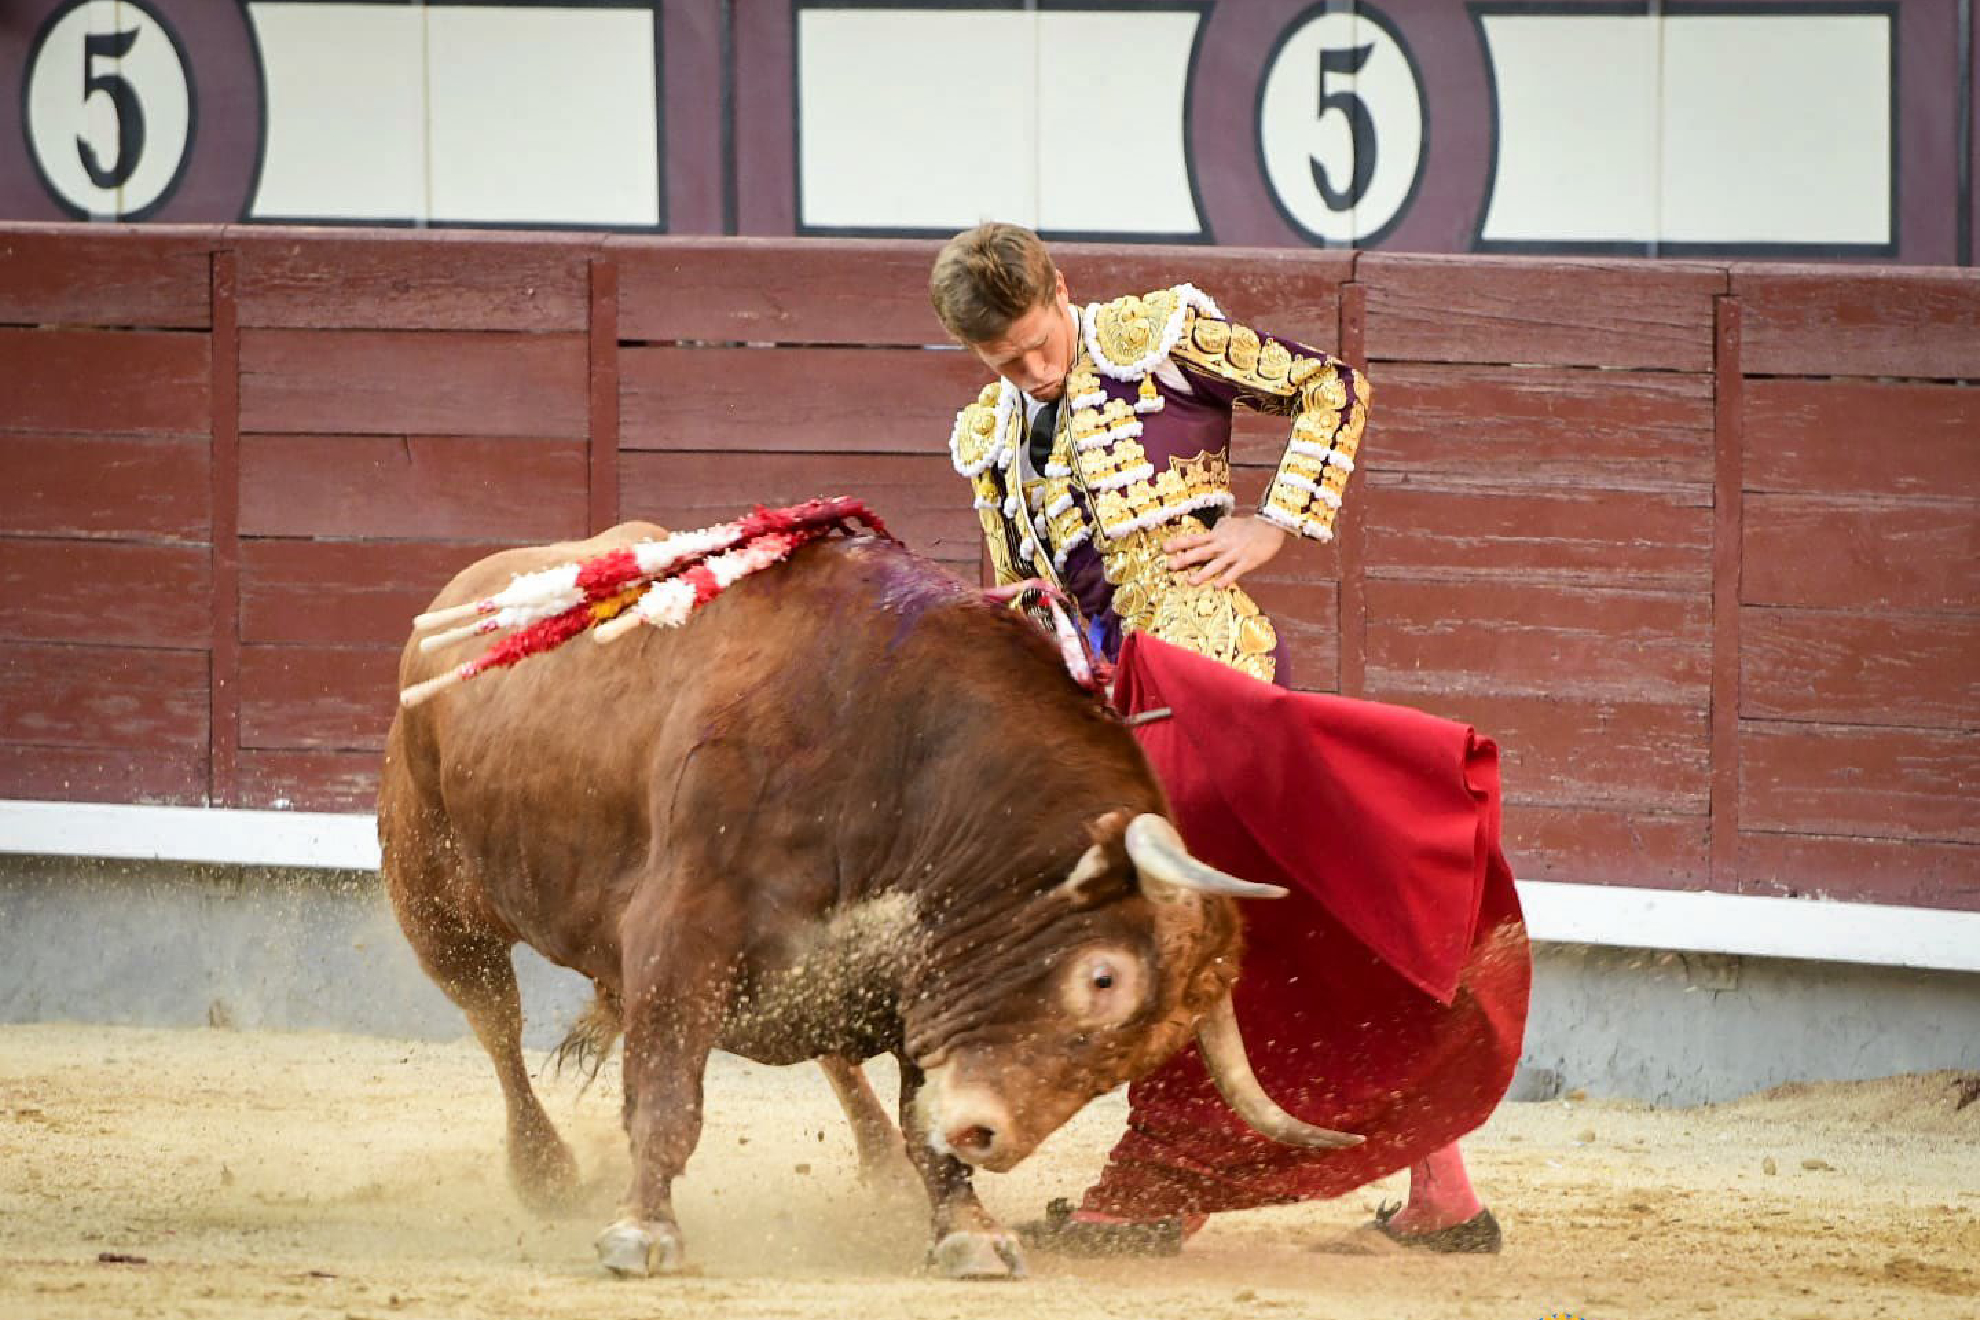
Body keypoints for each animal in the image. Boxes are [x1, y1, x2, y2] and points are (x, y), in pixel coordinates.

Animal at [378, 522, 1354, 1282]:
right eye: (1104, 978)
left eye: (1148, 1049)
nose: (989, 1136)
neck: (899, 754)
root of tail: (455, 600)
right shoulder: (679, 933)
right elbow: (665, 1091)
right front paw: (642, 1231)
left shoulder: (926, 968)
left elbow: (921, 1116)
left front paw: (967, 1233)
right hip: (435, 904)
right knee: (496, 1026)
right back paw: (544, 1173)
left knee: (836, 1061)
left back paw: (877, 1161)